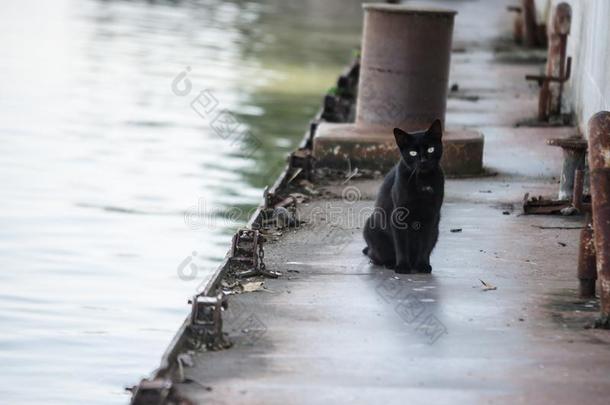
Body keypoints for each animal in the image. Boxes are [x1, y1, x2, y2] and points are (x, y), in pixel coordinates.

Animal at [360, 118, 442, 274]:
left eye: (431, 149)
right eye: (413, 153)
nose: (423, 160)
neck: (422, 181)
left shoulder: (431, 217)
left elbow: (425, 245)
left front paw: (423, 265)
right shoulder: (398, 216)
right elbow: (401, 244)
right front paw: (403, 267)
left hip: (436, 231)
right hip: (371, 228)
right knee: (377, 256)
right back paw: (391, 263)